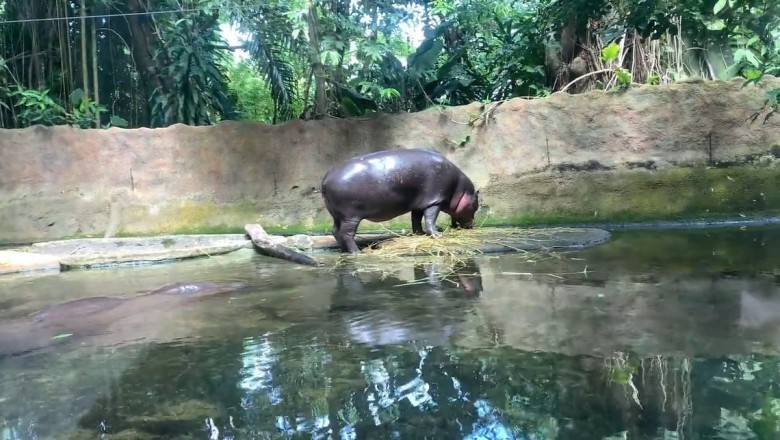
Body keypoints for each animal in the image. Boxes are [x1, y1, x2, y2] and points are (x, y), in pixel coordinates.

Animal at [321, 148, 480, 253]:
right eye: (475, 206)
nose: (473, 225)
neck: (460, 190)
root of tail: (326, 178)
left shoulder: (419, 204)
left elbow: (416, 219)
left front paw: (419, 234)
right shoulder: (435, 201)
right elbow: (430, 218)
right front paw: (437, 234)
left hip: (338, 215)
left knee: (335, 231)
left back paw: (345, 250)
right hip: (350, 216)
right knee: (346, 234)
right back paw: (358, 252)